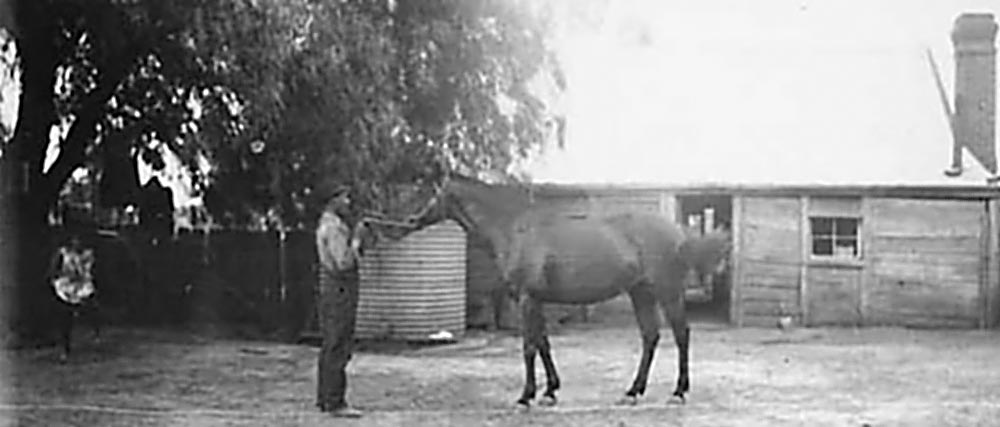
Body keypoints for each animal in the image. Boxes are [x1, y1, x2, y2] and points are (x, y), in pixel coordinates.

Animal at [410, 176, 700, 410]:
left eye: (435, 192)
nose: (414, 219)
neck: (513, 229)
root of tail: (677, 232)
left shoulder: (526, 298)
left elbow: (529, 347)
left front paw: (525, 397)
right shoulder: (536, 300)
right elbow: (543, 344)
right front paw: (549, 392)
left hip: (668, 291)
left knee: (681, 334)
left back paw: (678, 392)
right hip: (641, 293)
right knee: (650, 336)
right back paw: (633, 392)